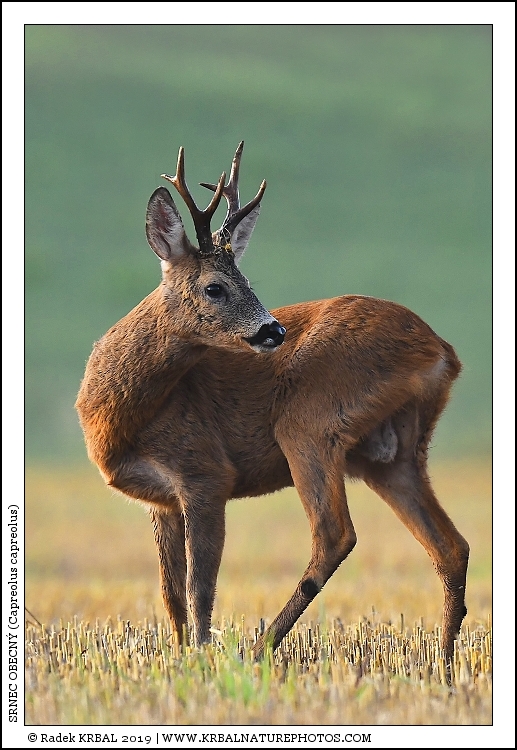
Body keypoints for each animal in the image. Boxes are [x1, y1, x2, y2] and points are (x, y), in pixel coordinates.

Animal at [76, 142, 469, 664]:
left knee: (335, 534)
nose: (273, 331)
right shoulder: (159, 501)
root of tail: (440, 350)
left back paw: (259, 649)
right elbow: (171, 593)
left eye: (250, 283)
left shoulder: (204, 472)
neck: (120, 418)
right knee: (451, 548)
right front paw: (177, 658)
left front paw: (202, 658)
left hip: (308, 420)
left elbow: (200, 588)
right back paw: (442, 667)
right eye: (215, 287)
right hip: (393, 454)